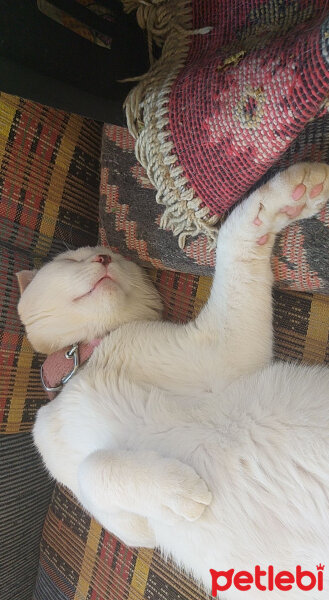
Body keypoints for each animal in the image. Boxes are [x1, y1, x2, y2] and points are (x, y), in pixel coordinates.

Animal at [17, 162, 328, 596]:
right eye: (73, 259)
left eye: (113, 258)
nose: (103, 258)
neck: (87, 363)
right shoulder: (131, 529)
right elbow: (92, 470)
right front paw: (180, 491)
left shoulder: (223, 350)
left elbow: (233, 234)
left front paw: (284, 196)